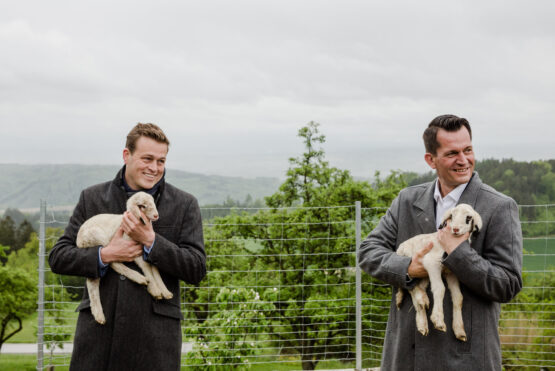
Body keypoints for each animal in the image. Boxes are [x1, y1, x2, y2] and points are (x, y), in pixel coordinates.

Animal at [76, 192, 172, 326]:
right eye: (143, 206)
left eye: (153, 202)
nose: (156, 215)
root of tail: (79, 241)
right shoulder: (133, 248)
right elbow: (146, 267)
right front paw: (155, 290)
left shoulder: (148, 249)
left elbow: (154, 268)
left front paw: (165, 292)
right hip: (98, 238)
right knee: (114, 263)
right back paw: (140, 278)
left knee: (93, 283)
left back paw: (99, 316)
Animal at [396, 203, 482, 342]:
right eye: (452, 215)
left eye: (468, 218)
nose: (455, 229)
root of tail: (399, 248)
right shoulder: (432, 262)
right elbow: (440, 288)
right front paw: (438, 321)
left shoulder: (451, 272)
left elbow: (458, 297)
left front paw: (459, 330)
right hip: (412, 263)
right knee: (410, 287)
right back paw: (422, 299)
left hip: (424, 276)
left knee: (416, 293)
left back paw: (422, 322)